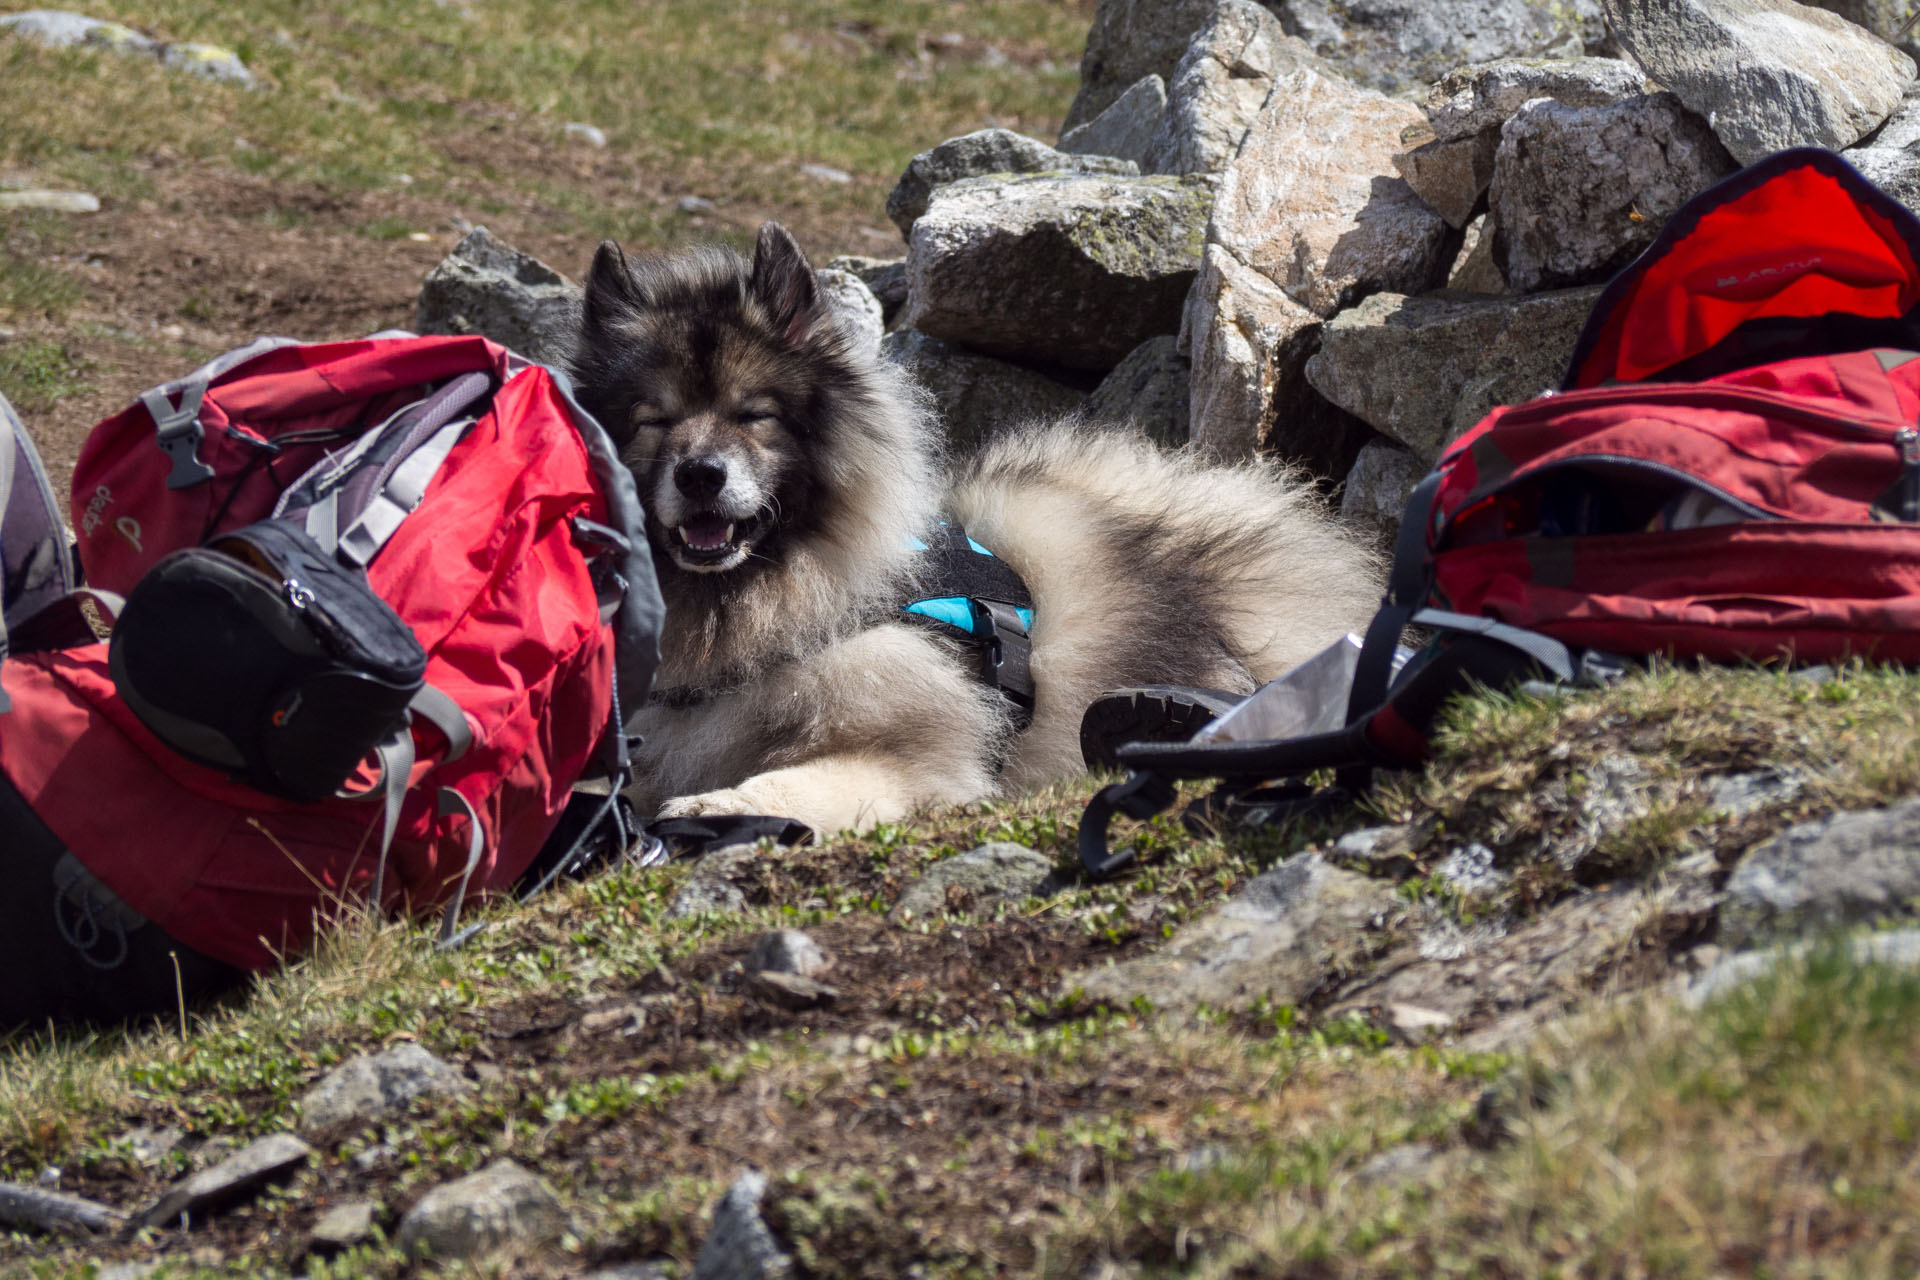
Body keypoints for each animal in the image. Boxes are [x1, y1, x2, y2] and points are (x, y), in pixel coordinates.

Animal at [564, 224, 1382, 836]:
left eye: (753, 414)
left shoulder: (922, 761)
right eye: (653, 421)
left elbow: (798, 782)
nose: (700, 475)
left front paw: (714, 808)